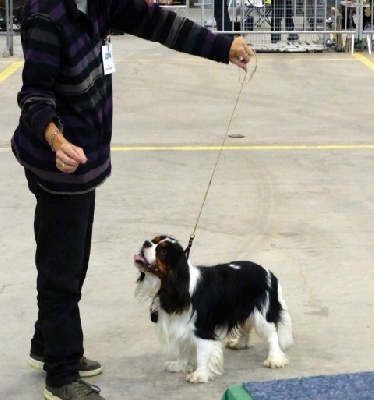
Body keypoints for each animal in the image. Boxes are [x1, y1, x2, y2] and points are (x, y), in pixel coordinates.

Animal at [133, 236, 294, 382]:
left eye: (162, 252)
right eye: (154, 240)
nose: (146, 242)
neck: (174, 284)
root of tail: (269, 273)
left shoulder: (201, 328)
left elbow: (202, 353)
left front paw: (199, 375)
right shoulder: (181, 325)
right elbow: (183, 346)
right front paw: (179, 365)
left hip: (262, 314)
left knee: (272, 335)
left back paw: (274, 359)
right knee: (246, 325)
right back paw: (240, 344)